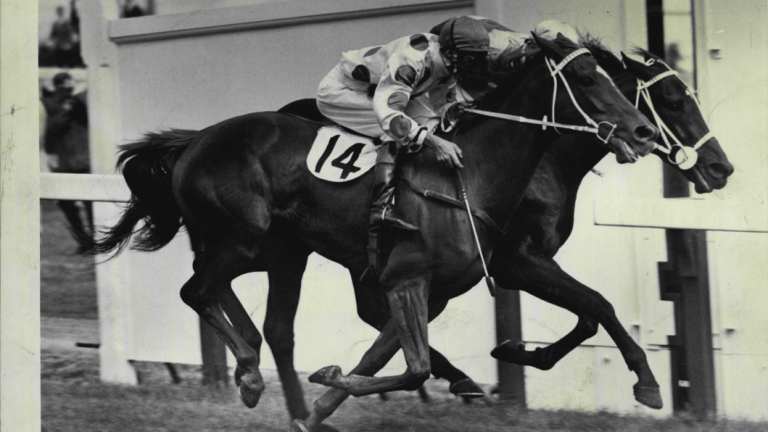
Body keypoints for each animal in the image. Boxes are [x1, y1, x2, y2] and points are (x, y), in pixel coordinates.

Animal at [91, 35, 656, 430]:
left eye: (613, 78)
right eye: (586, 78)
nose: (643, 131)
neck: (472, 176)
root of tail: (193, 141)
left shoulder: (428, 288)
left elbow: (389, 355)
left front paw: (320, 407)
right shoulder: (411, 279)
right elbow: (414, 366)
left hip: (281, 252)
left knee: (264, 321)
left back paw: (262, 379)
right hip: (245, 238)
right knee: (198, 288)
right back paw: (249, 368)